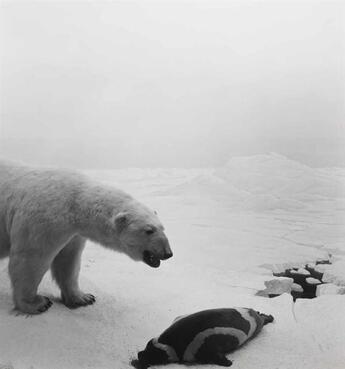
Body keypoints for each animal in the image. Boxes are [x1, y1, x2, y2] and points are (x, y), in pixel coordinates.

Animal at [0, 161, 172, 314]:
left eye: (163, 227)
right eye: (149, 230)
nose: (168, 253)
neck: (74, 201)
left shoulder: (72, 233)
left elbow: (68, 261)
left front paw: (83, 298)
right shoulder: (43, 219)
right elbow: (30, 258)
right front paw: (37, 303)